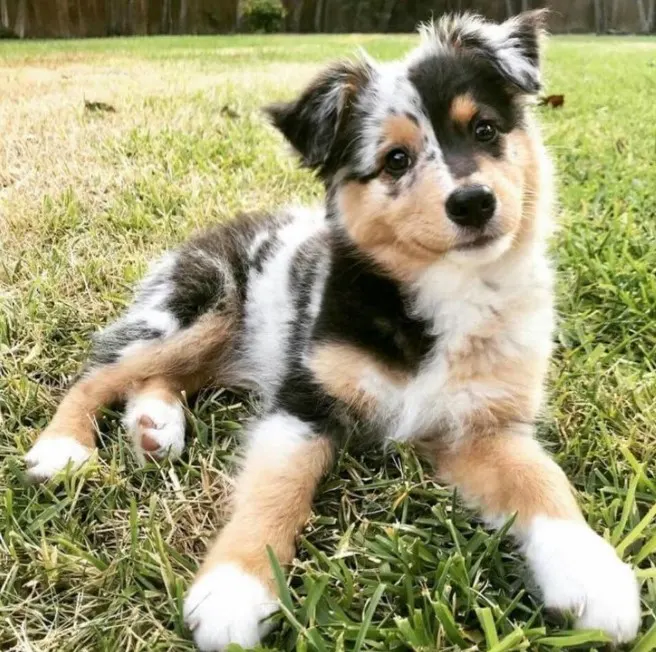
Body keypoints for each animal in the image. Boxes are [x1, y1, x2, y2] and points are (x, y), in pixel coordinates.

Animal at [25, 11, 640, 652]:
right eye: (395, 160)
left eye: (486, 129)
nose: (474, 203)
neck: (445, 292)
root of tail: (210, 232)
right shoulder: (305, 399)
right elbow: (275, 488)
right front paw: (234, 589)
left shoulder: (481, 425)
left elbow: (541, 480)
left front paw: (593, 576)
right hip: (205, 304)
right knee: (102, 372)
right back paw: (64, 448)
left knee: (163, 375)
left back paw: (154, 426)